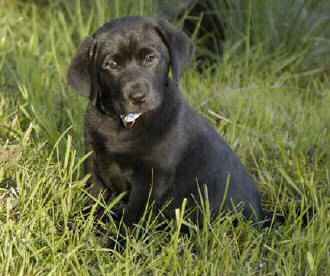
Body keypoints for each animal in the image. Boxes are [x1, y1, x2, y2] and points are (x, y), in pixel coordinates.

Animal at [67, 15, 262, 226]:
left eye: (150, 58)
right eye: (111, 65)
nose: (138, 97)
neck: (125, 124)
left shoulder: (152, 179)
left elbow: (133, 216)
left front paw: (119, 235)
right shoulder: (94, 163)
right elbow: (94, 199)